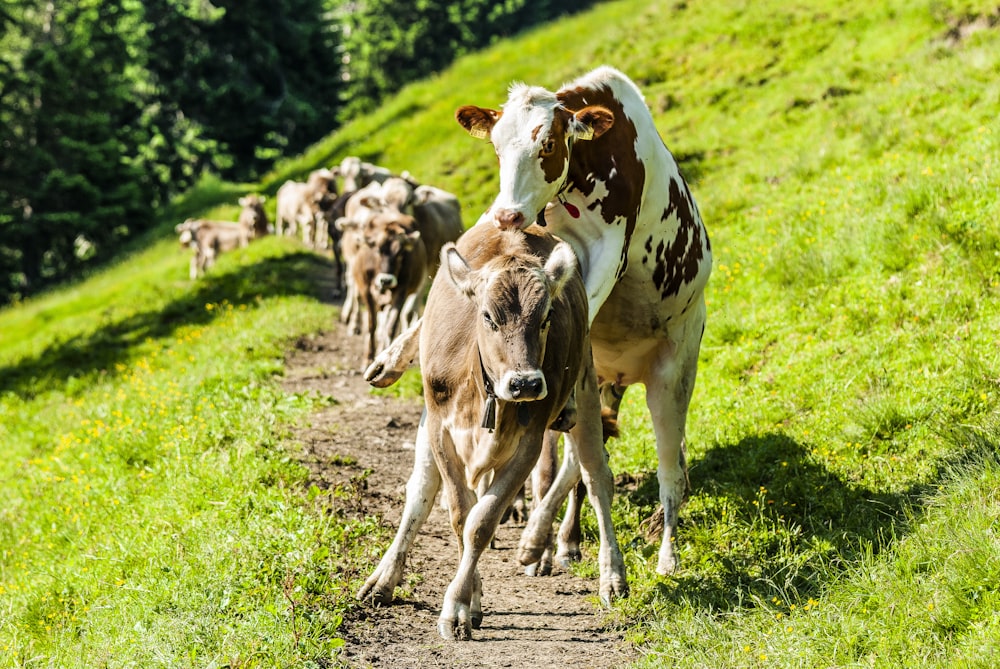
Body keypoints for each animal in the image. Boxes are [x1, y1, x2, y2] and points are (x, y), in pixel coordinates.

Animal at [358, 222, 624, 640]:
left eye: (546, 317)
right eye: (488, 317)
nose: (526, 383)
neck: (484, 388)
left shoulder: (528, 444)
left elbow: (480, 523)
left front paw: (457, 607)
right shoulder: (440, 431)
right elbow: (459, 515)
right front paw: (471, 600)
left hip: (585, 388)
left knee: (596, 478)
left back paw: (611, 577)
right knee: (420, 492)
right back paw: (383, 580)